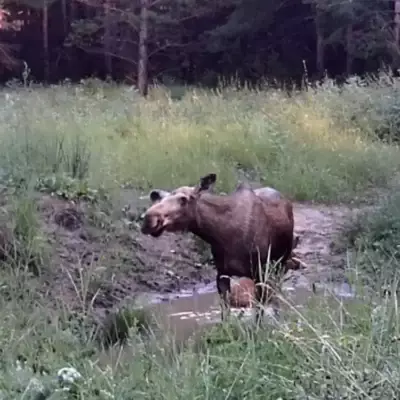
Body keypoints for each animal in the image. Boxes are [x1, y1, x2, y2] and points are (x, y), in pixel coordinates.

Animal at [140, 173, 294, 324]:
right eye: (160, 199)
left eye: (183, 199)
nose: (149, 219)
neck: (219, 234)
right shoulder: (222, 273)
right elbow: (225, 313)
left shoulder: (260, 272)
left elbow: (259, 314)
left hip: (280, 264)